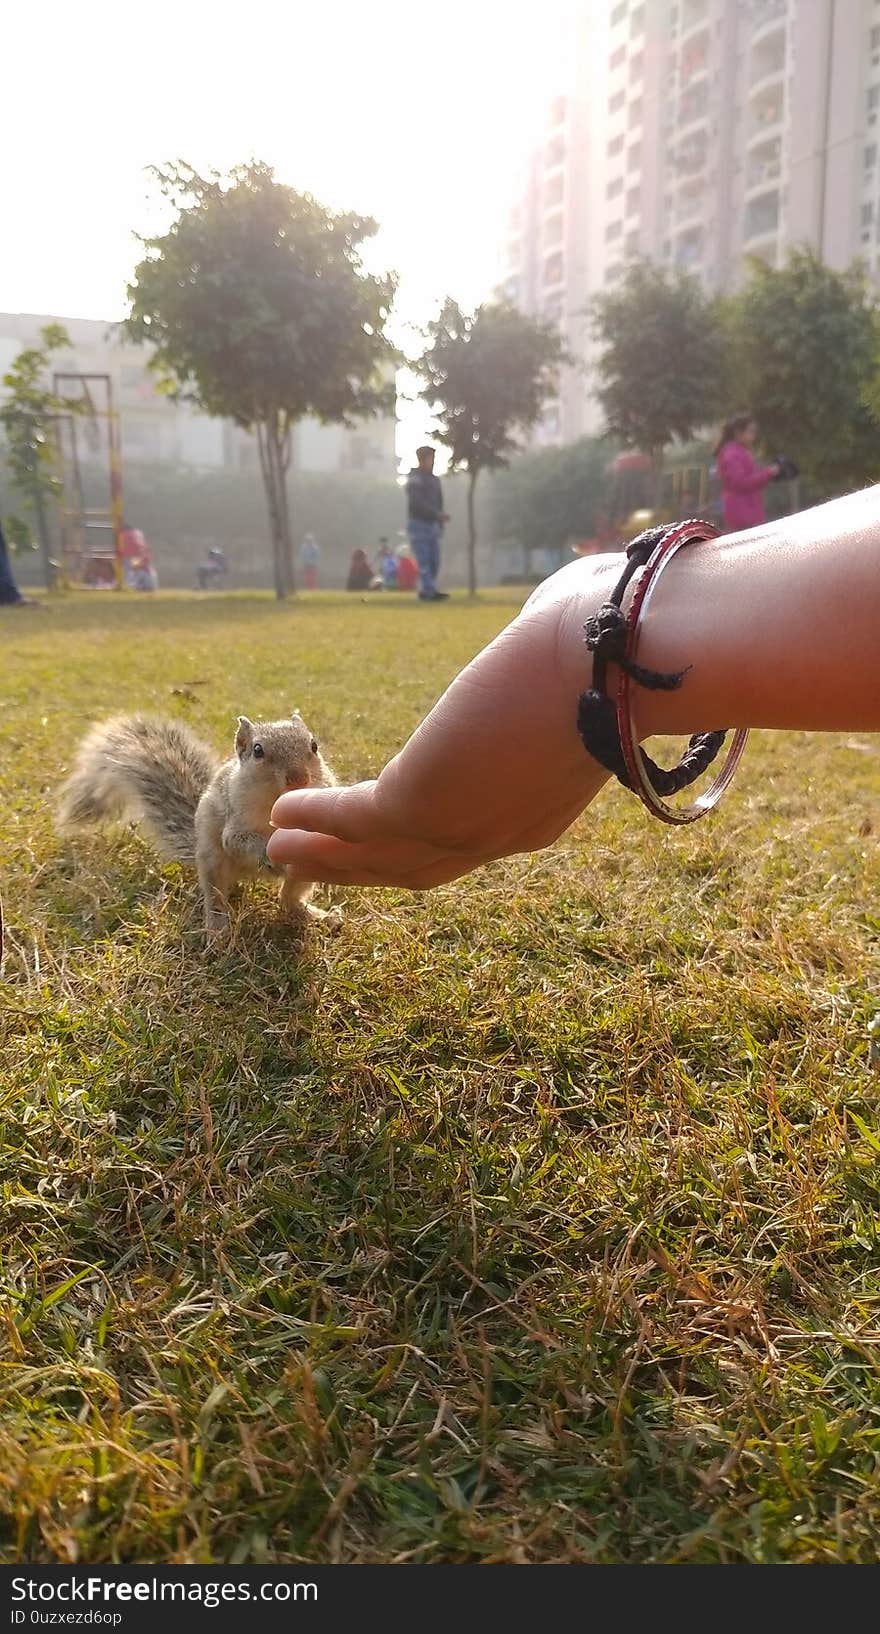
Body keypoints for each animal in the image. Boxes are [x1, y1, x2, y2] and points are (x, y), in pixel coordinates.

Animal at [57, 712, 341, 941]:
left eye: (314, 745)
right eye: (258, 750)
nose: (299, 778)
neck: (273, 801)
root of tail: (248, 876)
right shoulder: (235, 820)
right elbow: (236, 840)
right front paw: (265, 851)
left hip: (303, 874)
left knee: (289, 901)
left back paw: (320, 915)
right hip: (213, 861)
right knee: (216, 897)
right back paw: (217, 929)